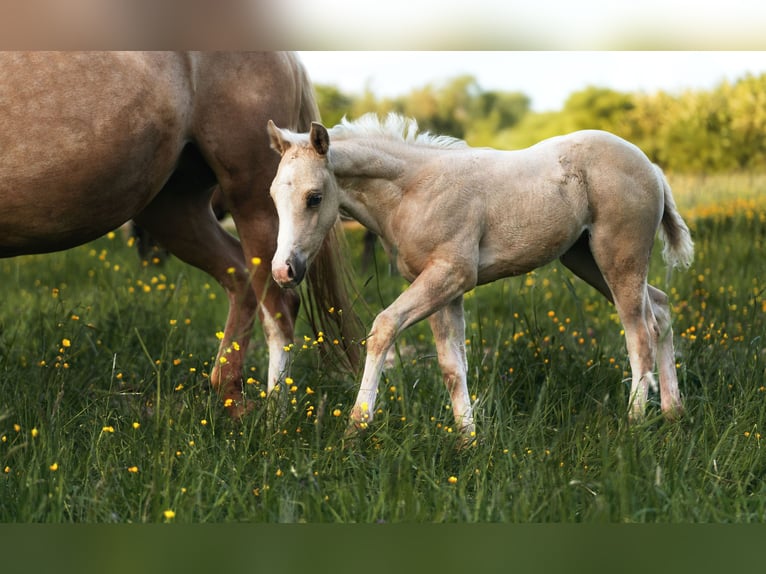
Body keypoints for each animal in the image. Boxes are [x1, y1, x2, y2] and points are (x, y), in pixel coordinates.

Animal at [0, 52, 361, 417]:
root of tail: (288, 58)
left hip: (255, 203)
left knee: (279, 308)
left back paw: (274, 416)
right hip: (174, 210)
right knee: (241, 280)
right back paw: (232, 401)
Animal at [266, 112, 694, 439]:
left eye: (314, 197)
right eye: (273, 196)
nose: (283, 270)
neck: (414, 191)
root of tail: (650, 166)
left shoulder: (452, 274)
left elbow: (384, 327)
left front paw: (357, 426)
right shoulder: (443, 289)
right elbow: (452, 366)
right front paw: (468, 440)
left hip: (619, 257)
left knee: (640, 334)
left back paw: (635, 423)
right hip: (586, 259)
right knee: (660, 310)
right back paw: (673, 411)